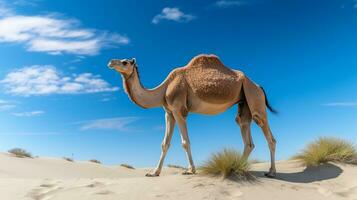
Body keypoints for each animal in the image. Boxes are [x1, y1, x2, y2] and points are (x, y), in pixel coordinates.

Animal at [107, 54, 276, 178]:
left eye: (125, 62)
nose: (110, 62)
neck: (164, 89)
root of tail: (258, 86)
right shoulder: (169, 113)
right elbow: (164, 144)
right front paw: (154, 172)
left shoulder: (178, 109)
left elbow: (185, 142)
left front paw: (190, 170)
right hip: (244, 102)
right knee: (245, 130)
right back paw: (236, 168)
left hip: (255, 98)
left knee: (267, 132)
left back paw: (271, 172)